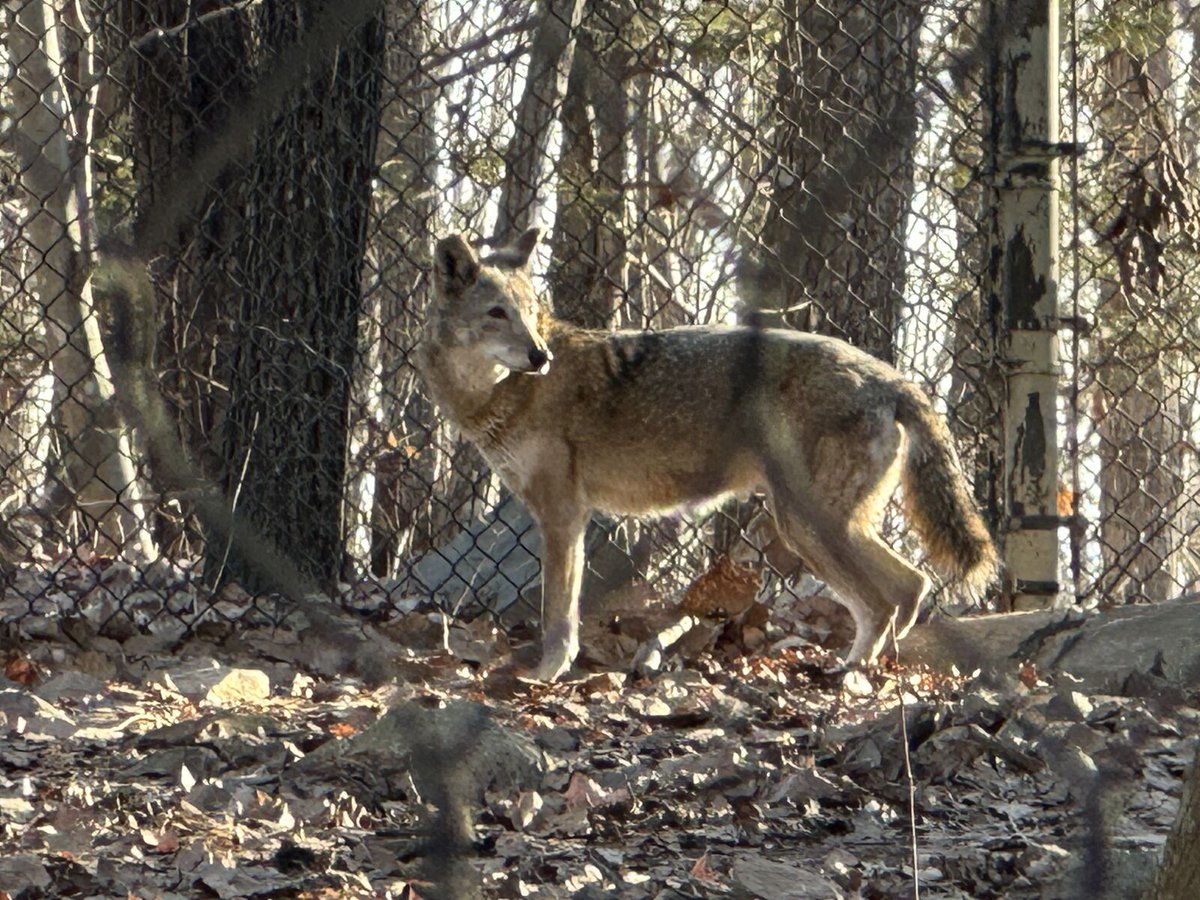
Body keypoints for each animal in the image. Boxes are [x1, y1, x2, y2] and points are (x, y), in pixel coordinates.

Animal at [416, 228, 998, 681]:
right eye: (497, 314)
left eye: (533, 314)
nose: (540, 355)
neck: (500, 397)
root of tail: (893, 378)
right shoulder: (566, 517)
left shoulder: (563, 517)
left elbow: (558, 618)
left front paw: (545, 676)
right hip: (812, 527)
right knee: (906, 589)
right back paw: (871, 672)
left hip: (808, 525)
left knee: (892, 595)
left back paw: (853, 674)